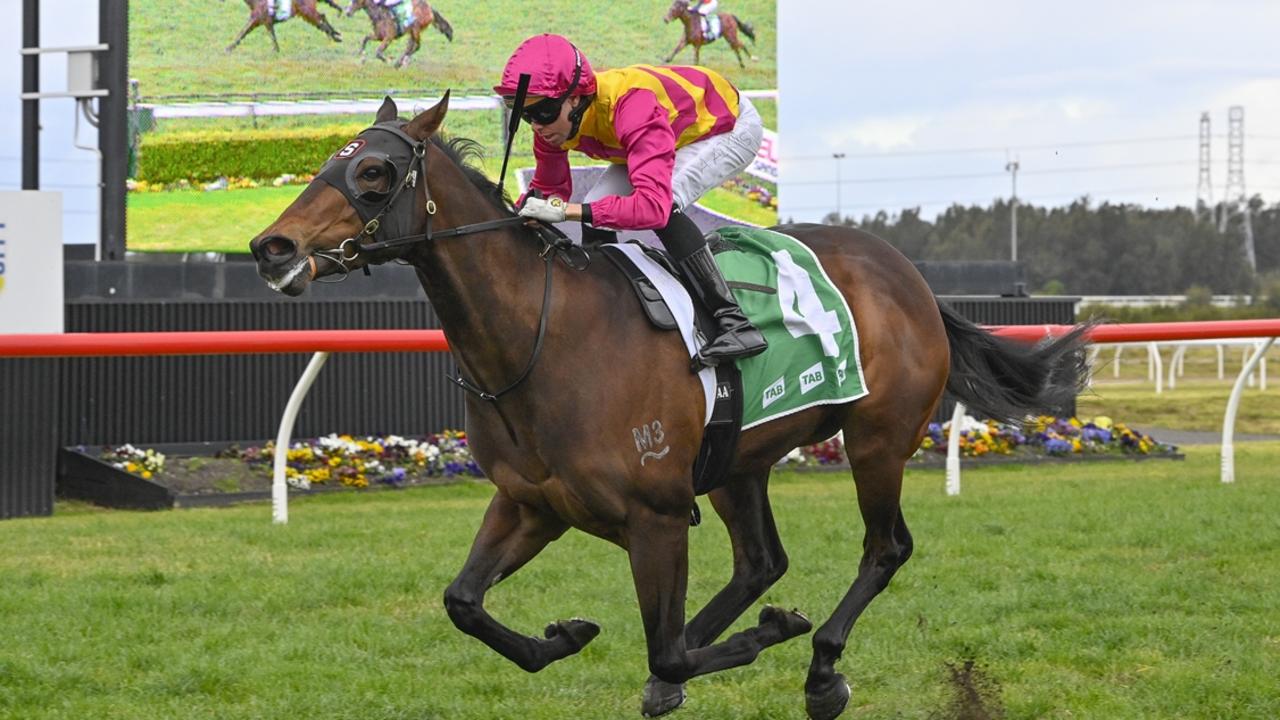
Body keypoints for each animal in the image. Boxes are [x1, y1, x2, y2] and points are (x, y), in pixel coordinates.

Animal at [248, 95, 1089, 720]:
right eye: (324, 162)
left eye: (374, 171)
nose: (271, 247)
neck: (540, 338)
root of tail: (907, 275)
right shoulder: (532, 503)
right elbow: (464, 602)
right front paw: (566, 636)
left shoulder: (653, 516)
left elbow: (667, 645)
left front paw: (772, 634)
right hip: (738, 459)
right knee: (760, 561)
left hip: (877, 439)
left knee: (884, 549)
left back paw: (821, 669)